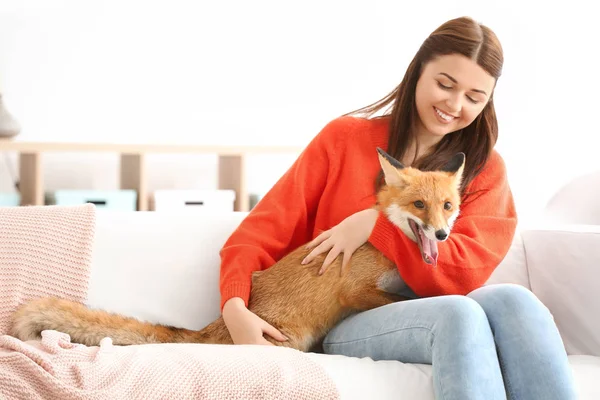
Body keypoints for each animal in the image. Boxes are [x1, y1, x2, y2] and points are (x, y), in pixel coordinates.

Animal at [11, 148, 466, 354]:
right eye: (419, 206)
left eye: (447, 206)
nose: (442, 235)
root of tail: (210, 331)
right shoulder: (353, 290)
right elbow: (405, 297)